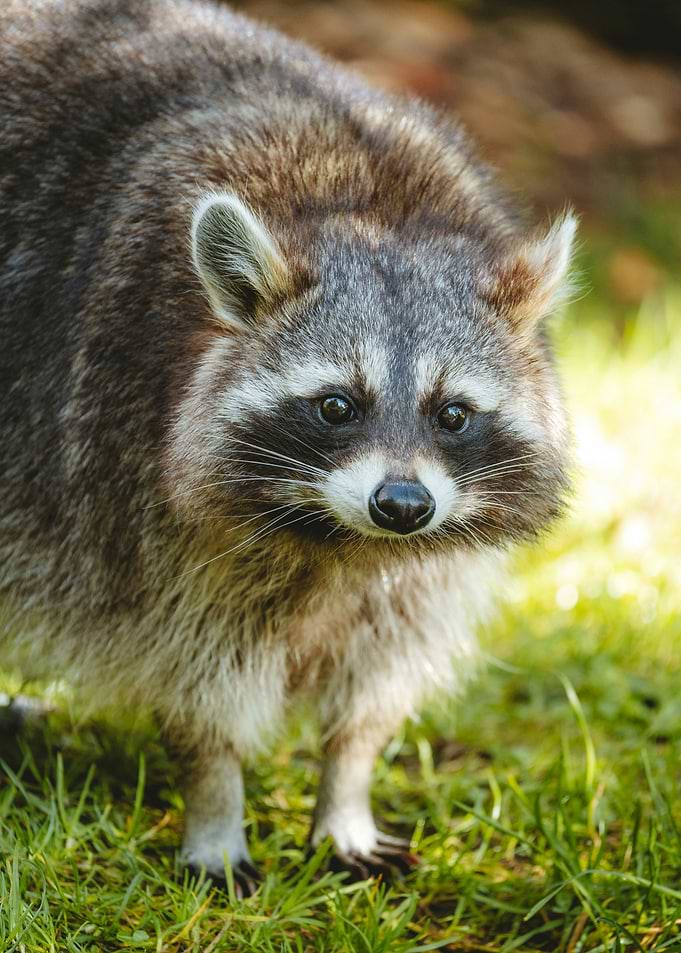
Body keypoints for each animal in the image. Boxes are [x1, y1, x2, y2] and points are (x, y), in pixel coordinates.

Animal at [0, 0, 575, 891]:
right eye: (336, 405)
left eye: (451, 414)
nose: (401, 503)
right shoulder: (130, 482)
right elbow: (193, 674)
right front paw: (214, 799)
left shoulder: (423, 567)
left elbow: (378, 675)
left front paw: (347, 786)